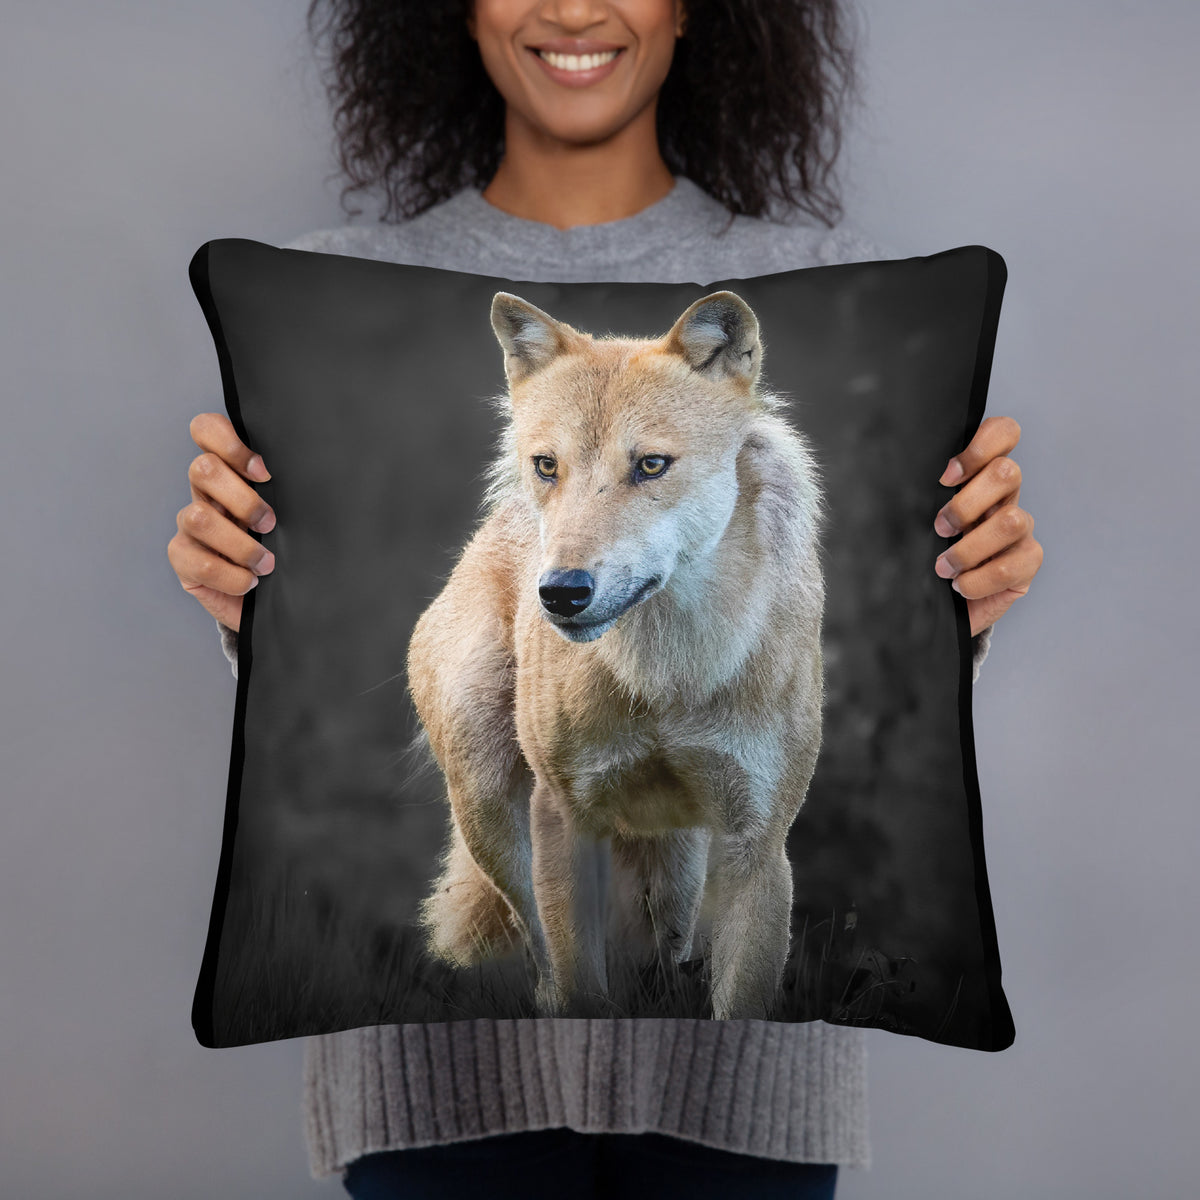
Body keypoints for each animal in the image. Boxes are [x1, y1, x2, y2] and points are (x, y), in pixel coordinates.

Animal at [407, 287, 827, 1021]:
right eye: (548, 466)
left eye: (651, 465)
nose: (560, 592)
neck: (667, 678)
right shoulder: (563, 819)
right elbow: (580, 986)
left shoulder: (757, 847)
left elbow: (740, 1000)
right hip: (491, 809)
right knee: (541, 958)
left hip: (677, 869)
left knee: (663, 961)